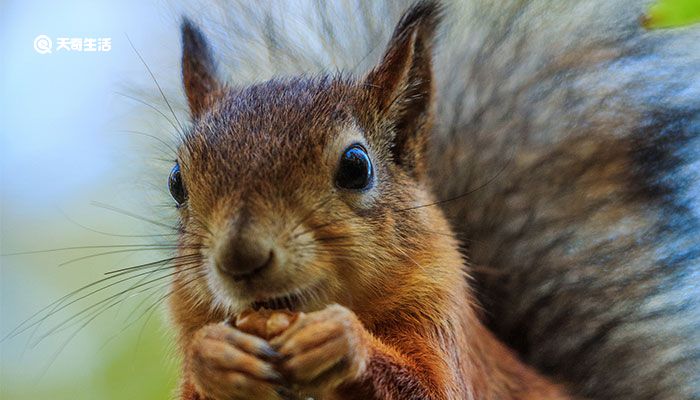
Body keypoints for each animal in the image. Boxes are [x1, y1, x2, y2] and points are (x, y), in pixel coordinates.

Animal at [165, 0, 700, 400]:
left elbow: (431, 388)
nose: (240, 258)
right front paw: (214, 357)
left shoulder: (439, 319)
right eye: (176, 182)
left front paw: (341, 341)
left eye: (356, 166)